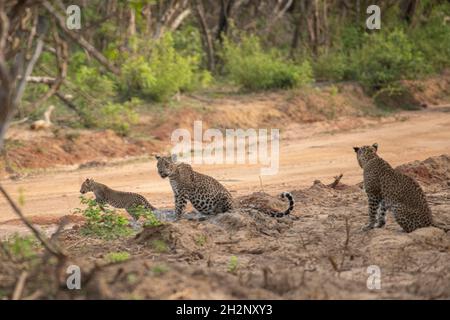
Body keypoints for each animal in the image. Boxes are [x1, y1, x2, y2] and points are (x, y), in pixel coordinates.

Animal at [155, 154, 296, 219]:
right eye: (158, 165)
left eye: (166, 164)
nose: (160, 172)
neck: (172, 176)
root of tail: (235, 204)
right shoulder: (177, 193)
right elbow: (176, 205)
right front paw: (175, 216)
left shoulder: (182, 194)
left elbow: (179, 207)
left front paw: (177, 218)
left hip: (224, 197)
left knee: (229, 211)